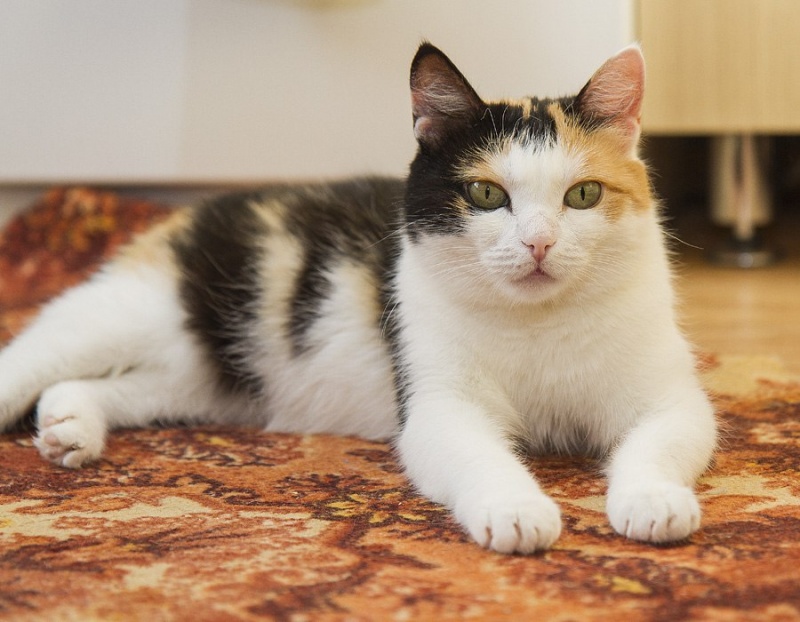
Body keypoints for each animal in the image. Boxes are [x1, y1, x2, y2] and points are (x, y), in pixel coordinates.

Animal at [0, 43, 717, 554]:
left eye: (584, 194)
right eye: (487, 194)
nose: (538, 243)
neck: (537, 323)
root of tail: (189, 208)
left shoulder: (669, 396)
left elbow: (661, 439)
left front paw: (653, 501)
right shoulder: (437, 405)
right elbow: (478, 454)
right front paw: (515, 509)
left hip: (207, 380)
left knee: (117, 384)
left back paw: (69, 426)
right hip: (131, 312)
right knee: (33, 357)